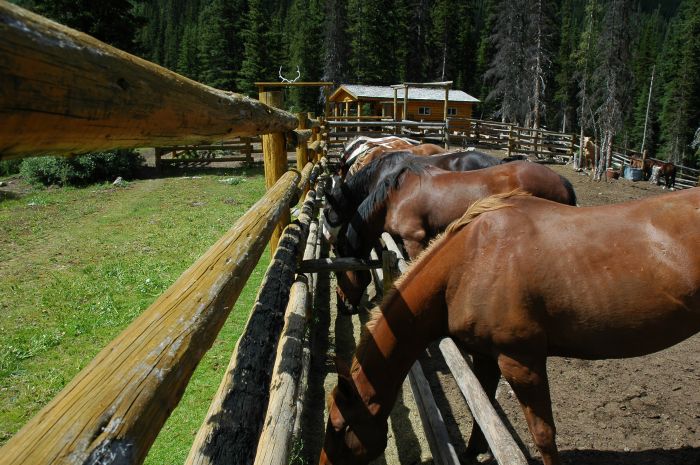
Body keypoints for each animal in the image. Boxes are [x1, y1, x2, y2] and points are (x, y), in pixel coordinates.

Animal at [322, 188, 700, 464]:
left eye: (340, 428)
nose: (345, 305)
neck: (470, 262)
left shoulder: (521, 363)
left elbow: (544, 435)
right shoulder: (485, 356)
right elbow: (483, 409)